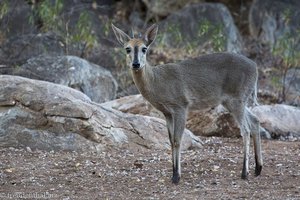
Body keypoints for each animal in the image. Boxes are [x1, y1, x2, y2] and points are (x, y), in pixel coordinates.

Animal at [112, 23, 262, 183]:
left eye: (144, 48)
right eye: (127, 48)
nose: (136, 64)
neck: (157, 82)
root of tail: (255, 68)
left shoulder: (181, 105)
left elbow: (178, 139)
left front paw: (176, 176)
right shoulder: (167, 112)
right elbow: (171, 141)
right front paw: (174, 172)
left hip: (236, 98)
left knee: (245, 129)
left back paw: (245, 173)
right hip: (235, 100)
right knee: (255, 121)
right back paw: (258, 169)